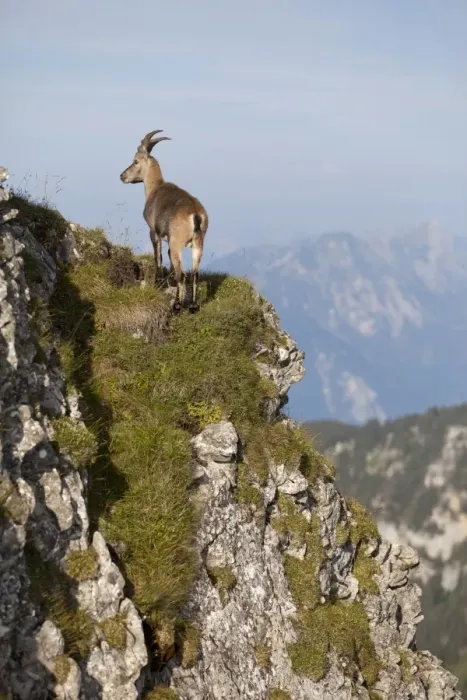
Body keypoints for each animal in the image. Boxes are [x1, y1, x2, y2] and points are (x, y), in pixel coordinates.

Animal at [120, 129, 209, 312]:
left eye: (135, 161)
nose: (122, 176)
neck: (155, 187)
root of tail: (195, 215)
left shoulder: (154, 232)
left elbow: (158, 257)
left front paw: (158, 282)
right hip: (198, 242)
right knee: (194, 273)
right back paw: (193, 306)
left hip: (177, 243)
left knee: (182, 274)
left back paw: (177, 305)